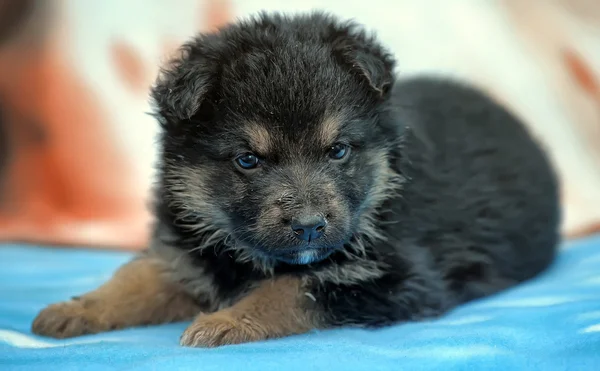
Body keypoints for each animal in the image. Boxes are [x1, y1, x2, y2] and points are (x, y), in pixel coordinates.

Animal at [30, 12, 560, 348]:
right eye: (248, 160)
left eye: (338, 150)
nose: (308, 227)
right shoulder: (185, 253)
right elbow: (134, 278)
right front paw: (77, 308)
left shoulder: (392, 278)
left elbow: (291, 287)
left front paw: (228, 320)